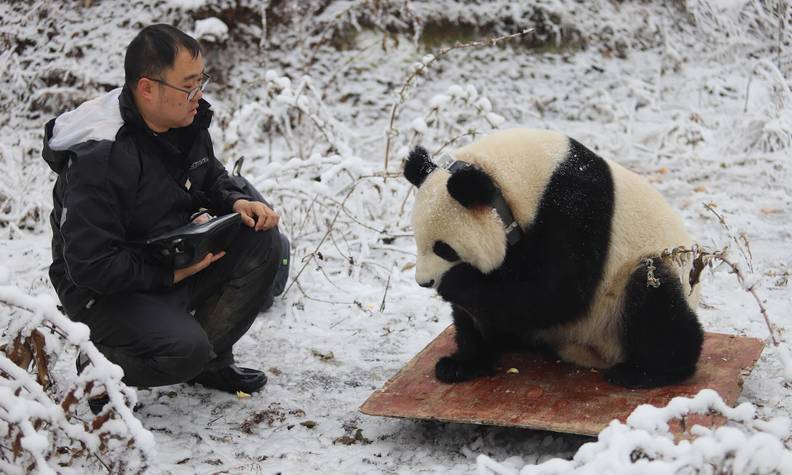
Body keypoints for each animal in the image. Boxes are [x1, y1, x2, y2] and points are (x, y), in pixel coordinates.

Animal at [406, 128, 704, 388]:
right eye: (418, 241)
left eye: (444, 249)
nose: (424, 282)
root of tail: (591, 353)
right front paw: (462, 363)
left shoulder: (574, 208)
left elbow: (558, 292)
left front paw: (455, 283)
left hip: (628, 288)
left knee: (653, 299)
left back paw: (644, 372)